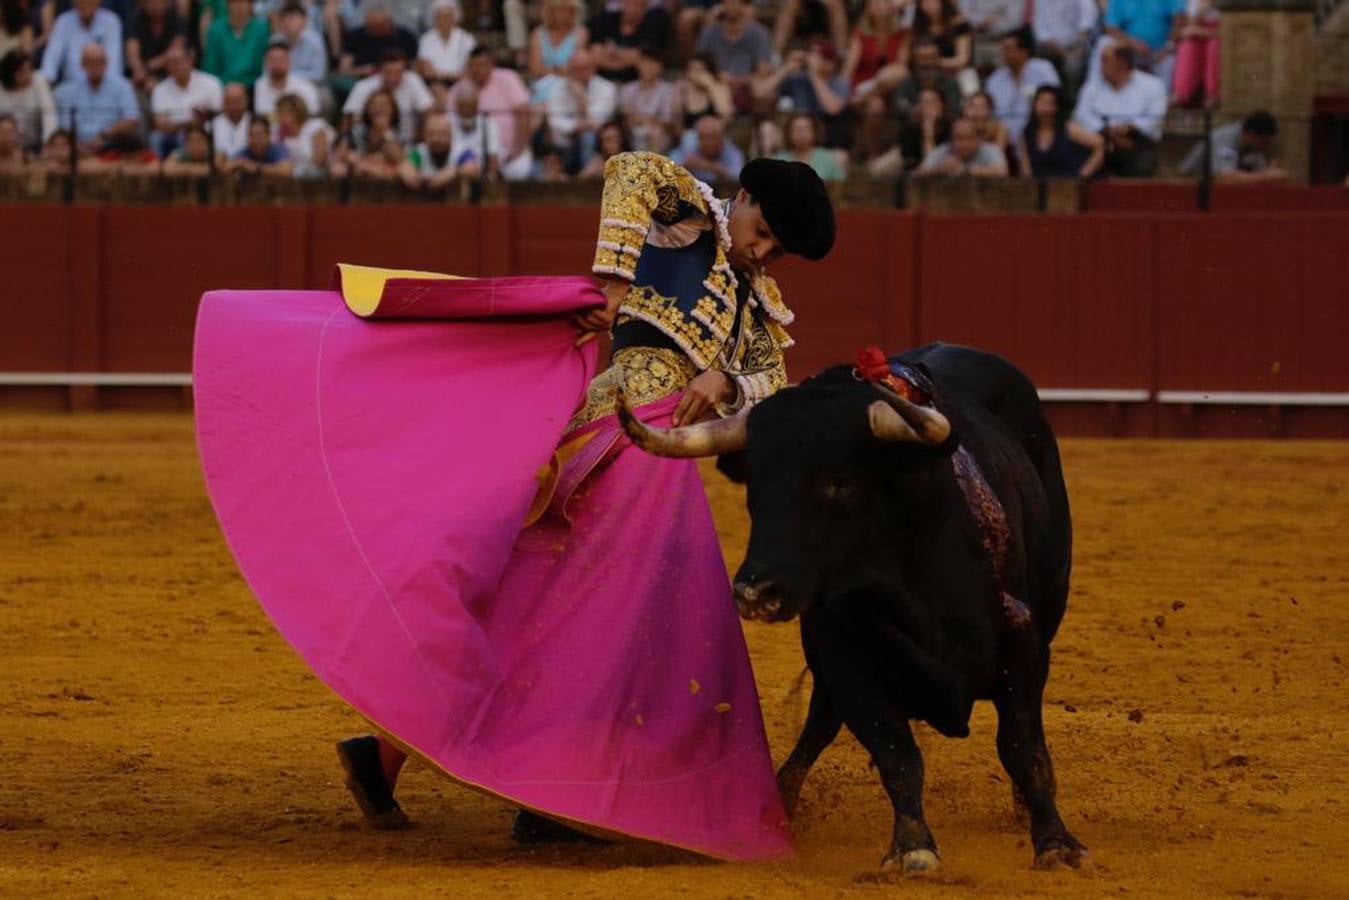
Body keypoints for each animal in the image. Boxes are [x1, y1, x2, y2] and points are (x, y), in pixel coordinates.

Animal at [617, 342, 1084, 874]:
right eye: (754, 484)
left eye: (838, 482)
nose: (755, 591)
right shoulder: (846, 660)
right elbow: (897, 754)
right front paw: (912, 847)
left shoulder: (1025, 645)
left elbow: (1023, 748)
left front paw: (1055, 843)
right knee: (821, 721)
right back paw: (782, 798)